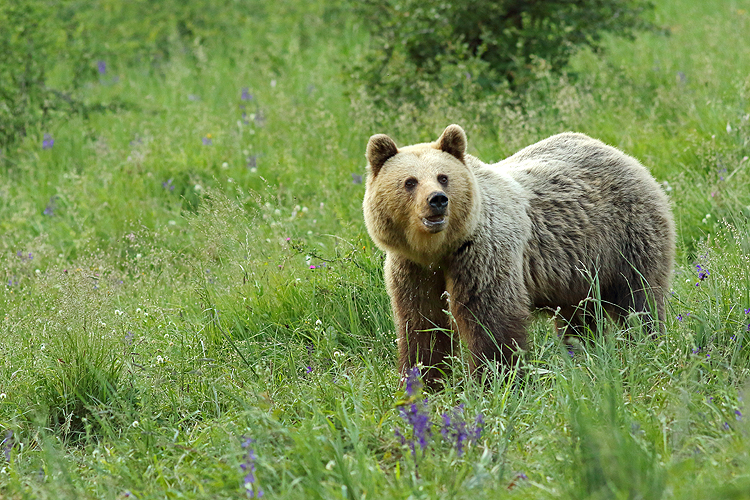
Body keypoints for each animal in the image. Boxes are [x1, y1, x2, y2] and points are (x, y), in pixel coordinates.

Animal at [362, 126, 676, 386]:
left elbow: (491, 321)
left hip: (625, 237)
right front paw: (423, 382)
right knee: (580, 316)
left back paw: (645, 345)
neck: (439, 250)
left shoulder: (482, 254)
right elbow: (422, 324)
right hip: (578, 269)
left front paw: (496, 381)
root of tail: (622, 155)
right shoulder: (413, 269)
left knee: (638, 299)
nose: (437, 200)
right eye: (410, 182)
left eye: (443, 177)